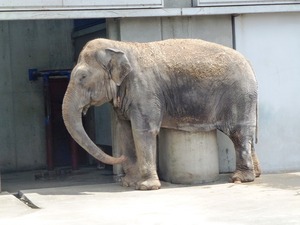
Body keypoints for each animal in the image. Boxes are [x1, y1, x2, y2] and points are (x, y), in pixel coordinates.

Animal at [62, 38, 260, 190]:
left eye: (82, 77)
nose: (119, 158)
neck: (120, 46)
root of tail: (250, 65)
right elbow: (125, 131)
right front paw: (128, 183)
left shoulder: (145, 92)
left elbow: (143, 131)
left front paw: (146, 187)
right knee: (247, 135)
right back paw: (255, 175)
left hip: (239, 95)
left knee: (238, 133)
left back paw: (240, 179)